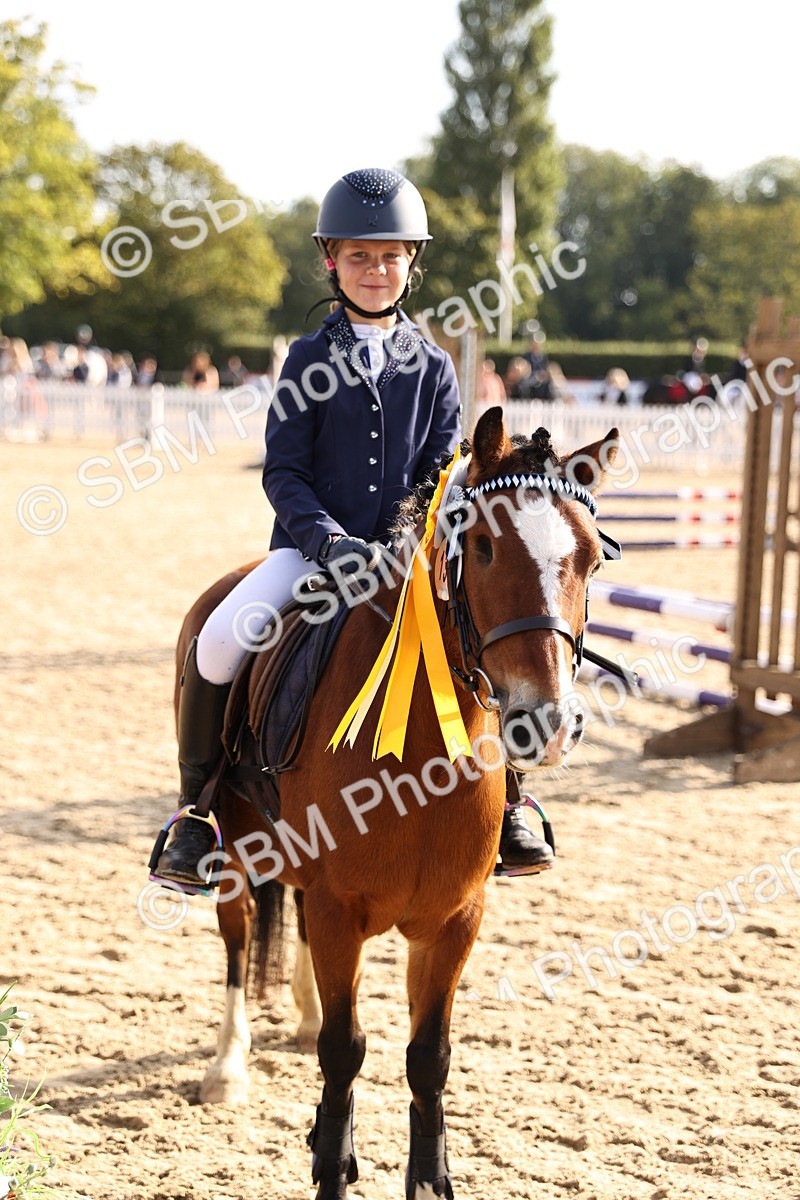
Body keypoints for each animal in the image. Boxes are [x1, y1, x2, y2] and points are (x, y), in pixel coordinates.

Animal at [175, 408, 619, 1199]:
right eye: (483, 547)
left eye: (594, 558)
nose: (546, 723)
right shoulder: (339, 909)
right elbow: (344, 1051)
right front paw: (331, 1164)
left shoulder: (454, 920)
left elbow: (427, 1057)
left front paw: (427, 1175)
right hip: (231, 843)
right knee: (237, 937)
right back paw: (227, 1065)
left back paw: (298, 1015)